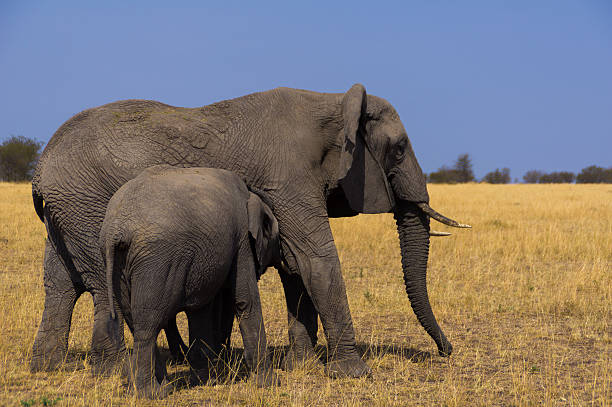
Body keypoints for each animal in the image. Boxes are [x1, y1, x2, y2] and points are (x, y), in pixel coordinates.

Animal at [100, 165, 280, 398]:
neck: (251, 194)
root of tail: (117, 228)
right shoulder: (241, 238)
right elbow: (245, 301)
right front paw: (269, 382)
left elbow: (200, 309)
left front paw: (206, 381)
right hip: (158, 260)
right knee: (148, 323)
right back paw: (150, 393)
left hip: (119, 263)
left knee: (134, 318)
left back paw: (161, 386)